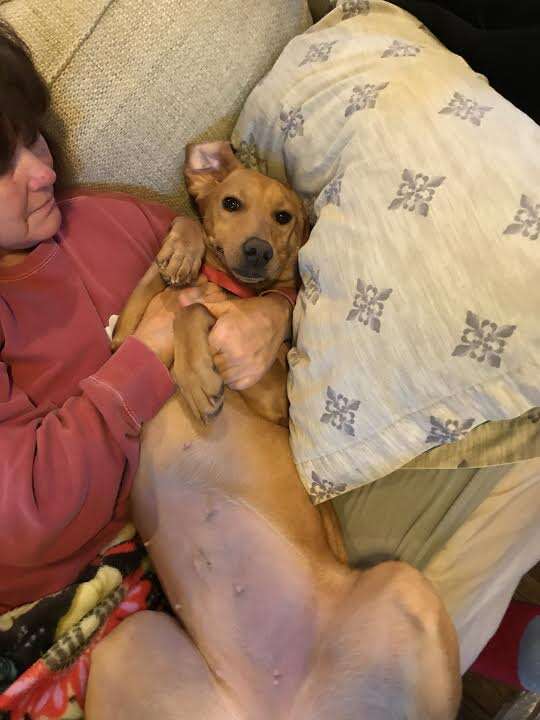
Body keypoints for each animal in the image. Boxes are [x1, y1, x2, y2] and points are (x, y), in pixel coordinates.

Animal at [88, 142, 460, 720]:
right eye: (232, 203)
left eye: (284, 217)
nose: (258, 249)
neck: (228, 288)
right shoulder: (128, 342)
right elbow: (177, 282)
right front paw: (181, 250)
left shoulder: (264, 395)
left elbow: (196, 312)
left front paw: (196, 373)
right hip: (123, 645)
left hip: (405, 588)